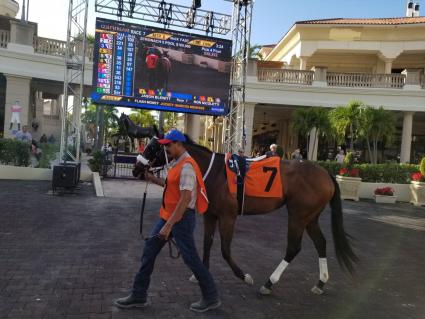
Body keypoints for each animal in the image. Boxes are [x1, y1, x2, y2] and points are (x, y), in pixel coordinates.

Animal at [134, 134, 356, 296]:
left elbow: (225, 250)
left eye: (152, 148)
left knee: (293, 248)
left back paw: (269, 283)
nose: (137, 169)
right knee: (321, 243)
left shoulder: (228, 216)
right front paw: (200, 274)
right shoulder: (211, 215)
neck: (214, 172)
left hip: (298, 215)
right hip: (310, 217)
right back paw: (320, 282)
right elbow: (207, 244)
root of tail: (326, 173)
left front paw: (243, 276)